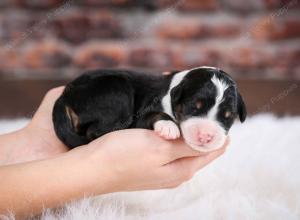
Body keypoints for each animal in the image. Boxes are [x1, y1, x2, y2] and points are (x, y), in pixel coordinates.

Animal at [53, 67, 246, 152]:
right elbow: (154, 114)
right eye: (194, 107)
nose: (206, 136)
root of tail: (65, 94)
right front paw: (169, 127)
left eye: (228, 116)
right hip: (117, 90)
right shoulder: (142, 114)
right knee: (95, 131)